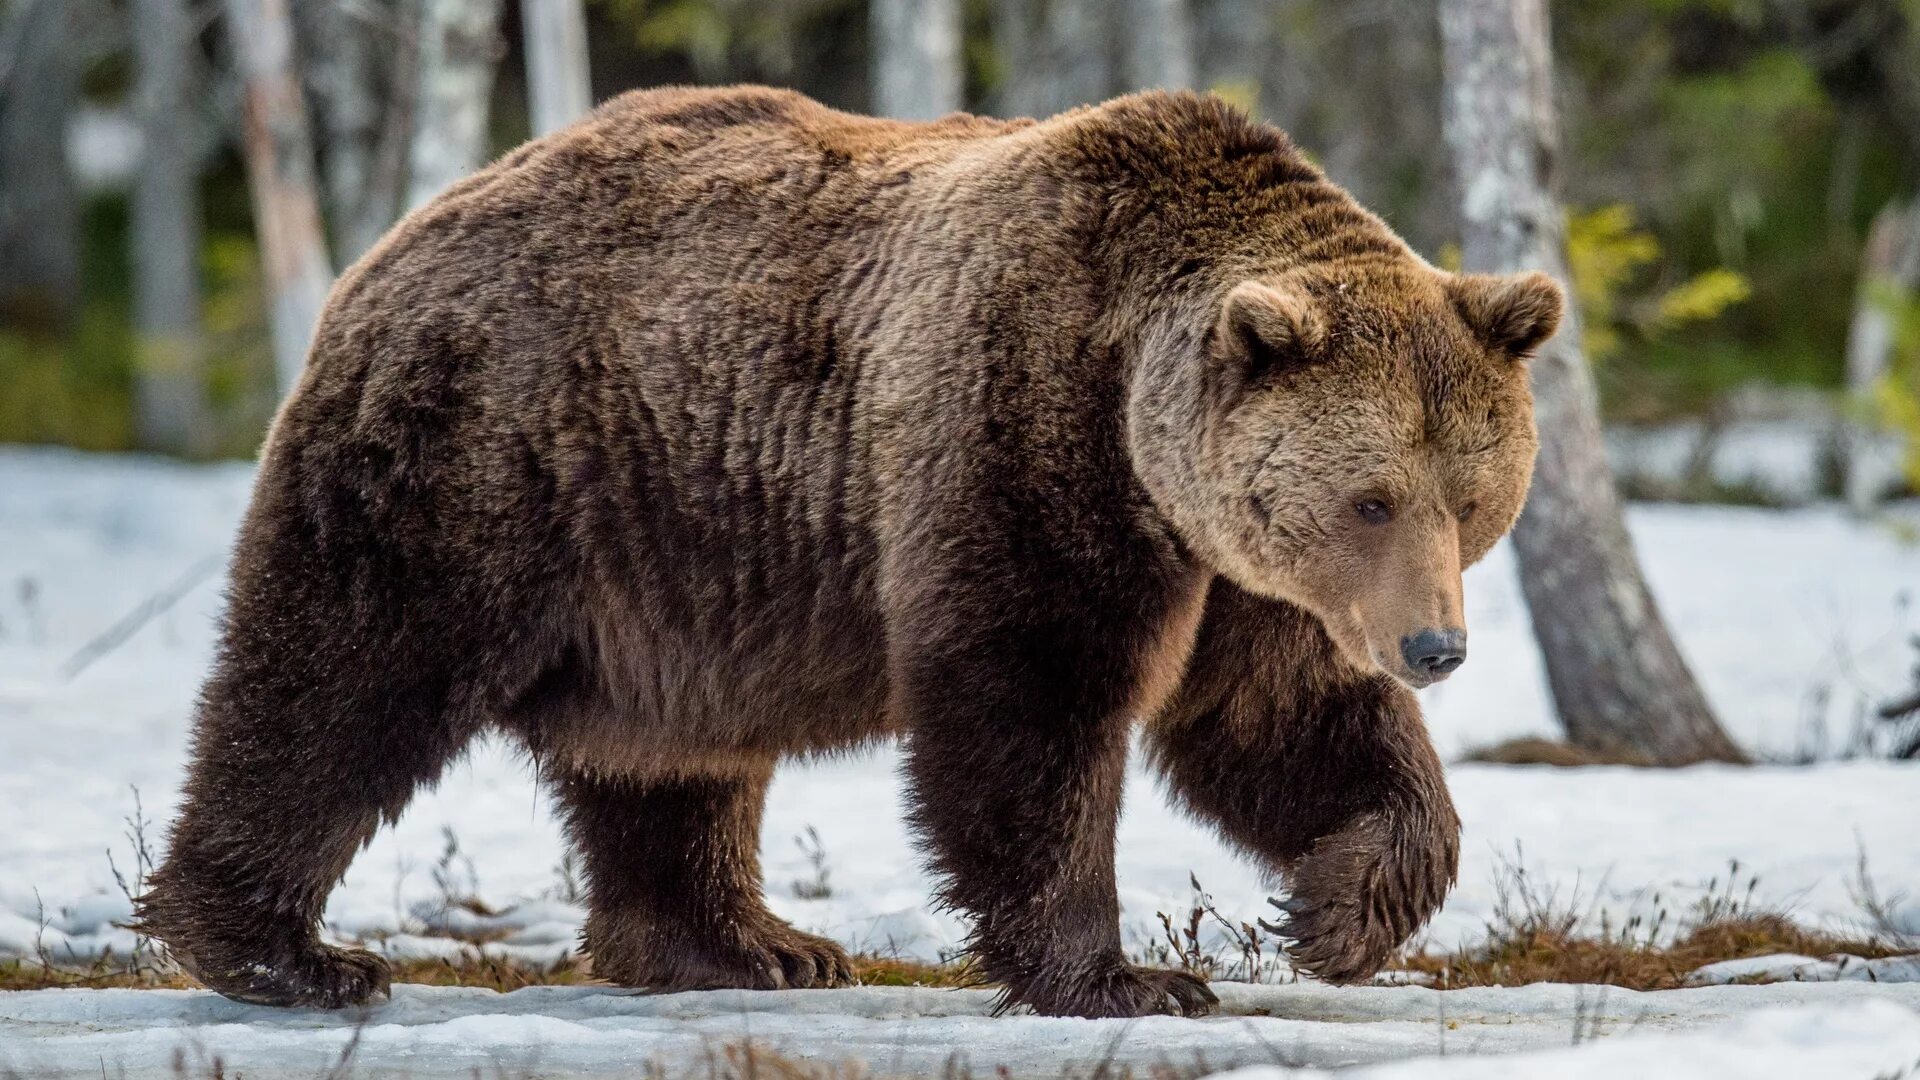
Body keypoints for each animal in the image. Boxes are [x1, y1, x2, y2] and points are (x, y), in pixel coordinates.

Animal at [135, 85, 1551, 1014]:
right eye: (1371, 498)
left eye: (1472, 496)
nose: (1436, 645)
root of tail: (398, 240)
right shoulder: (1017, 434)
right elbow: (1030, 704)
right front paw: (1126, 974)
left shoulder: (1237, 570)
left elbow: (1280, 719)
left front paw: (1337, 911)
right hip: (479, 465)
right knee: (342, 681)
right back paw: (282, 952)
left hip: (664, 564)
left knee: (669, 762)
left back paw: (745, 944)